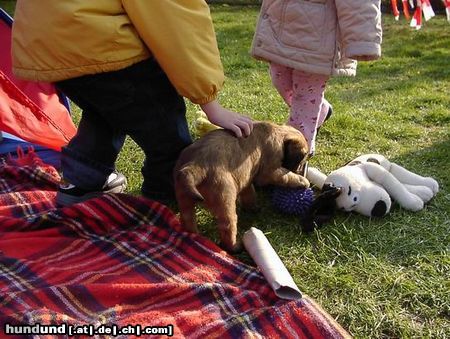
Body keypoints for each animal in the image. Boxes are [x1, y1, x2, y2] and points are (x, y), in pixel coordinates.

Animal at [173, 121, 310, 252]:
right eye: (302, 162)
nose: (302, 171)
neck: (280, 133)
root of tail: (193, 166)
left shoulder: (246, 179)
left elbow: (249, 194)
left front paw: (252, 207)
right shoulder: (270, 171)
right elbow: (286, 176)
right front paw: (303, 181)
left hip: (184, 198)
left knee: (188, 219)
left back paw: (195, 236)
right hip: (225, 200)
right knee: (227, 227)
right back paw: (235, 247)